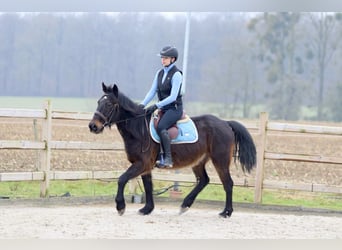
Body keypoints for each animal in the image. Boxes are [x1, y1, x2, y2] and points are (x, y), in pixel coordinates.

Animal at [89, 83, 256, 218]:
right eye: (98, 102)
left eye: (109, 104)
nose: (93, 126)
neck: (139, 129)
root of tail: (225, 123)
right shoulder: (144, 166)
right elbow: (148, 186)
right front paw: (147, 209)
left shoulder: (141, 164)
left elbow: (122, 179)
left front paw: (120, 206)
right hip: (199, 161)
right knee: (204, 180)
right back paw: (185, 205)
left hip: (220, 160)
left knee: (227, 183)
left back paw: (226, 212)